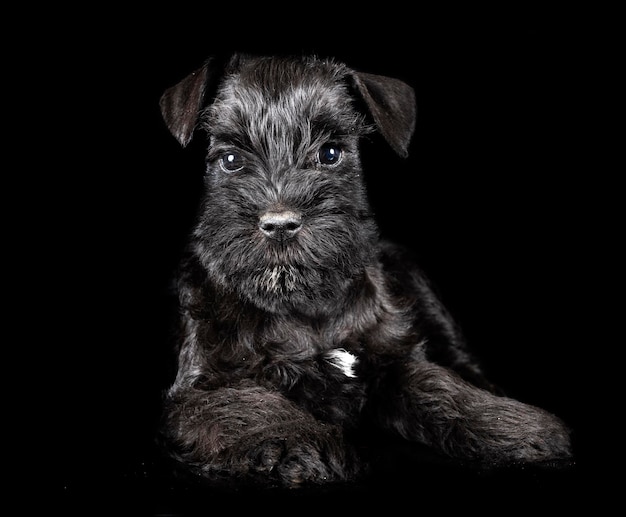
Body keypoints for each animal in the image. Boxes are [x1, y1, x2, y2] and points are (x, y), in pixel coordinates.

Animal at [156, 52, 572, 488]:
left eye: (330, 153)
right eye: (231, 159)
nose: (280, 224)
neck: (306, 310)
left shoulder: (392, 360)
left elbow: (437, 385)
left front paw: (514, 426)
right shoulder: (198, 391)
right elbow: (247, 405)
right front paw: (301, 443)